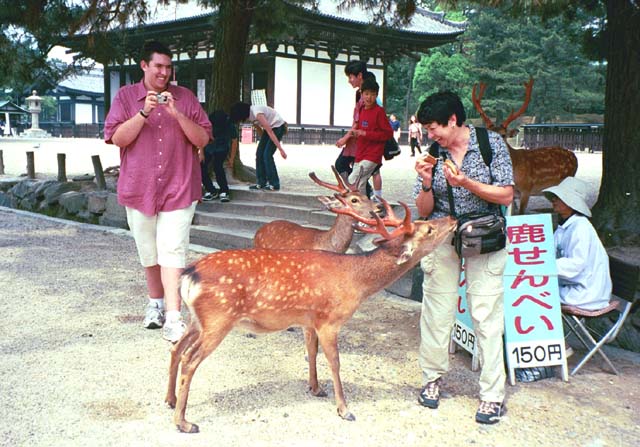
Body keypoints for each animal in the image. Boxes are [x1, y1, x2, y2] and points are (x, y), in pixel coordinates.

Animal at [165, 203, 456, 434]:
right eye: (429, 229)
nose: (453, 219)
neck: (356, 283)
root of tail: (189, 274)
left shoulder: (309, 320)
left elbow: (311, 352)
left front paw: (315, 389)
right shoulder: (330, 321)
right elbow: (335, 363)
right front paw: (344, 409)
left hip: (198, 319)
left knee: (176, 348)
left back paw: (170, 399)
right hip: (218, 318)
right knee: (189, 359)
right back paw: (184, 423)